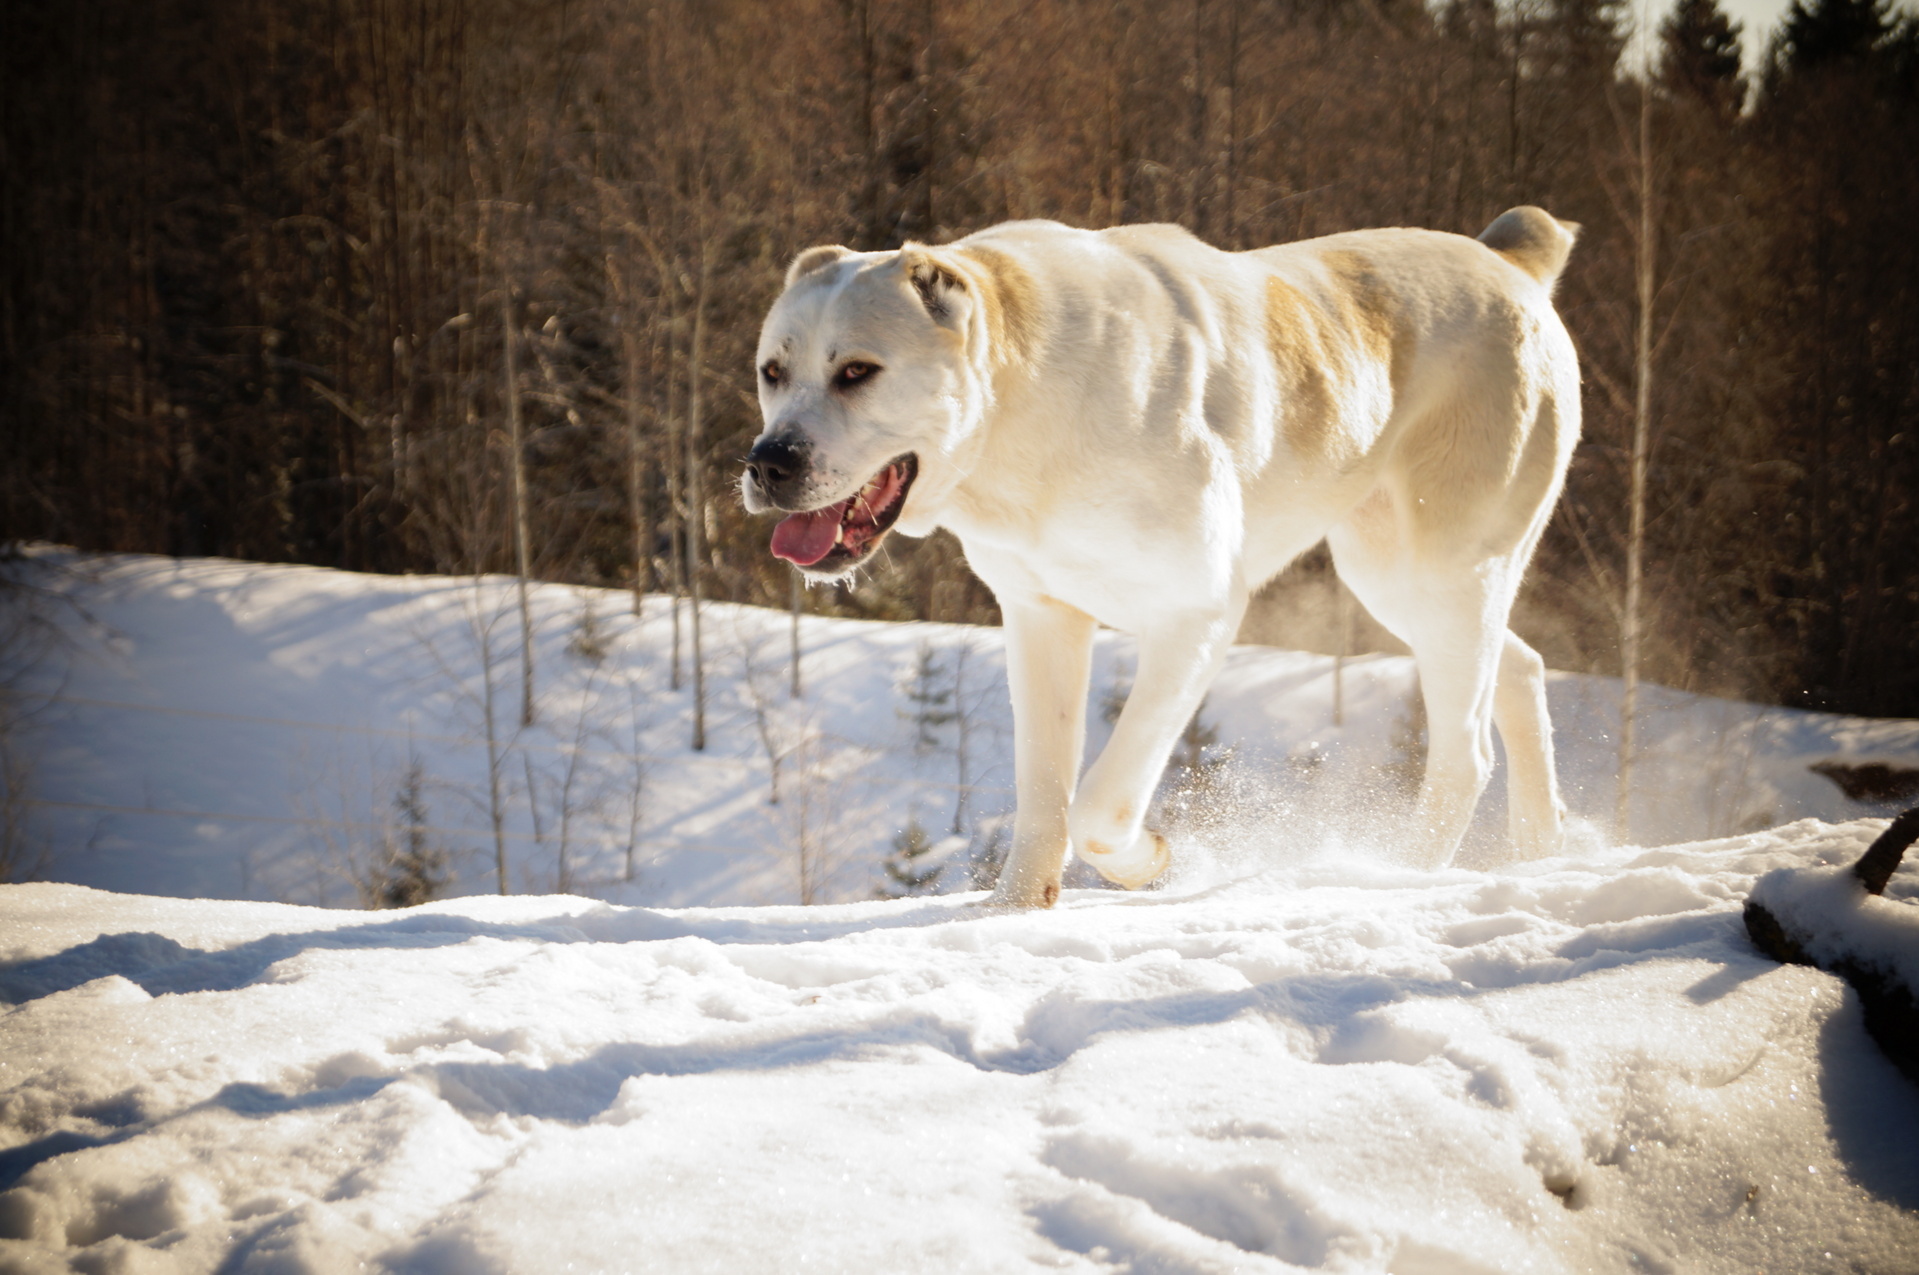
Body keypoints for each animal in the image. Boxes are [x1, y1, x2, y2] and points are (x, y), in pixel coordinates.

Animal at [744, 209, 1573, 906]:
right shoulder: (1041, 616)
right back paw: (1540, 848)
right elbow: (1043, 788)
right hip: (1398, 577)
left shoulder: (1194, 614)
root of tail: (1509, 262)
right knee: (1522, 669)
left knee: (1466, 751)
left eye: (856, 370)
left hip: (1441, 571)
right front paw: (1013, 909)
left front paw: (1151, 859)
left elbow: (1099, 801)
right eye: (771, 372)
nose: (768, 461)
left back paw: (1397, 873)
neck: (1021, 409)